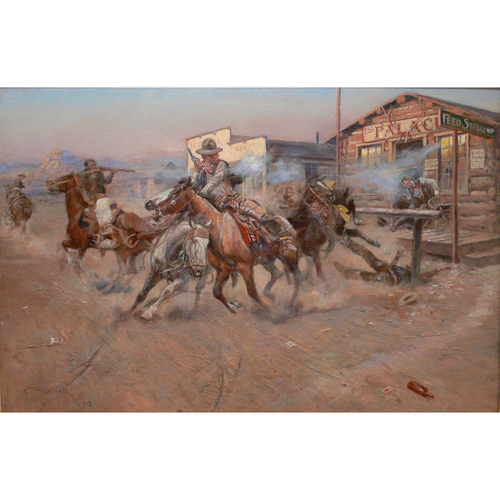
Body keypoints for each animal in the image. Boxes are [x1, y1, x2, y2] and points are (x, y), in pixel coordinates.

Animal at [146, 177, 302, 315]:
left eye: (174, 192)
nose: (149, 204)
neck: (220, 230)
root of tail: (286, 222)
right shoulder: (223, 269)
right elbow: (216, 292)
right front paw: (233, 308)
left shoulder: (245, 267)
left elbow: (252, 292)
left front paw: (269, 312)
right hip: (267, 260)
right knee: (277, 273)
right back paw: (269, 293)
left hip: (290, 257)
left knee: (298, 278)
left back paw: (290, 304)